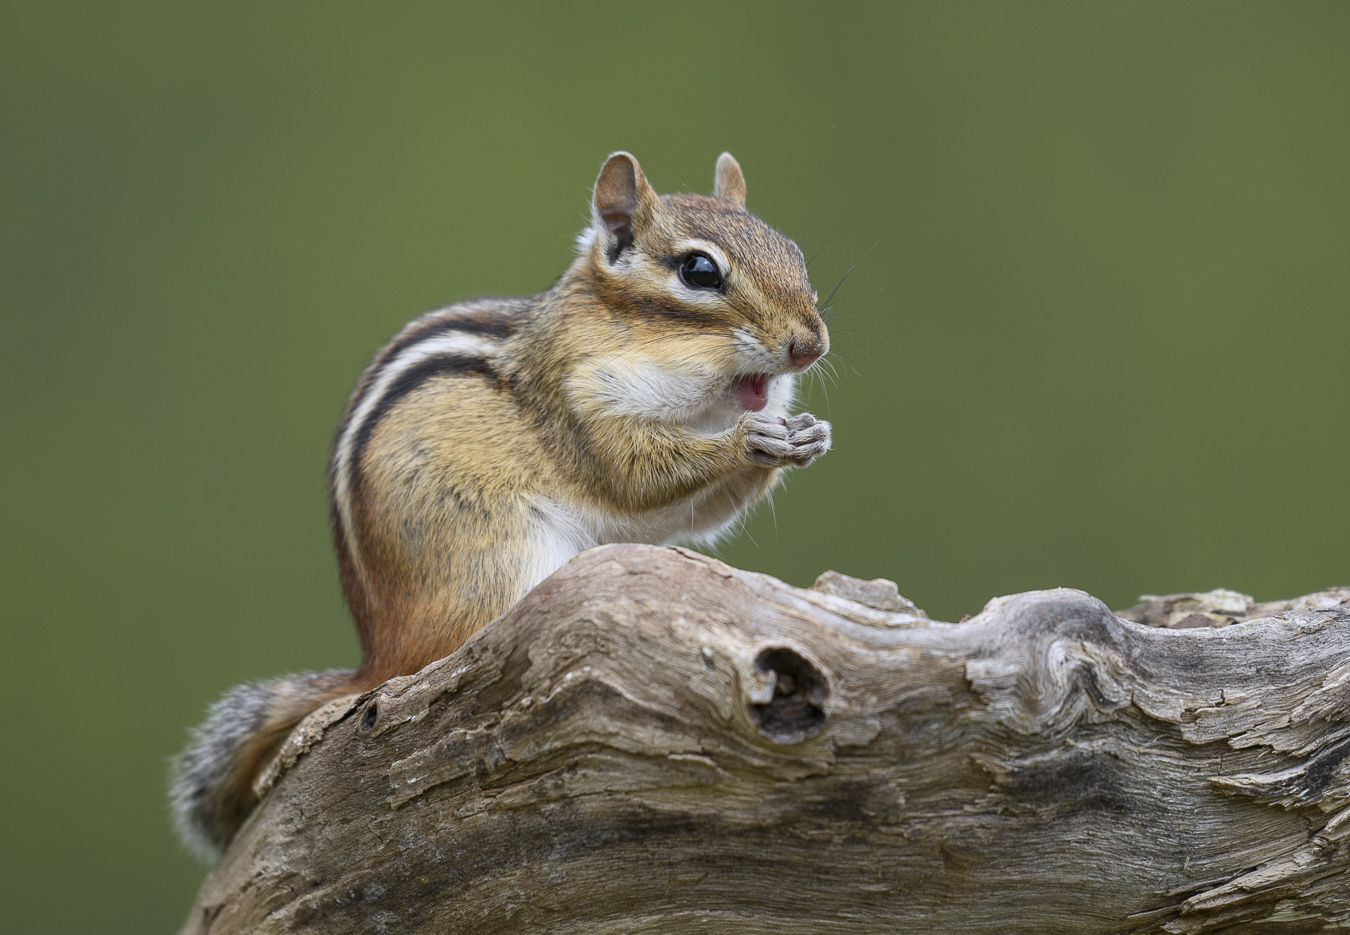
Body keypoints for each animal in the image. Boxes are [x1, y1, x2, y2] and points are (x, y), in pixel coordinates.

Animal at [171, 151, 832, 859]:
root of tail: (380, 655)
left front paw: (807, 435)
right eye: (699, 271)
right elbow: (636, 476)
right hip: (497, 559)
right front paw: (747, 441)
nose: (811, 345)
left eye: (795, 253)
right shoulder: (579, 405)